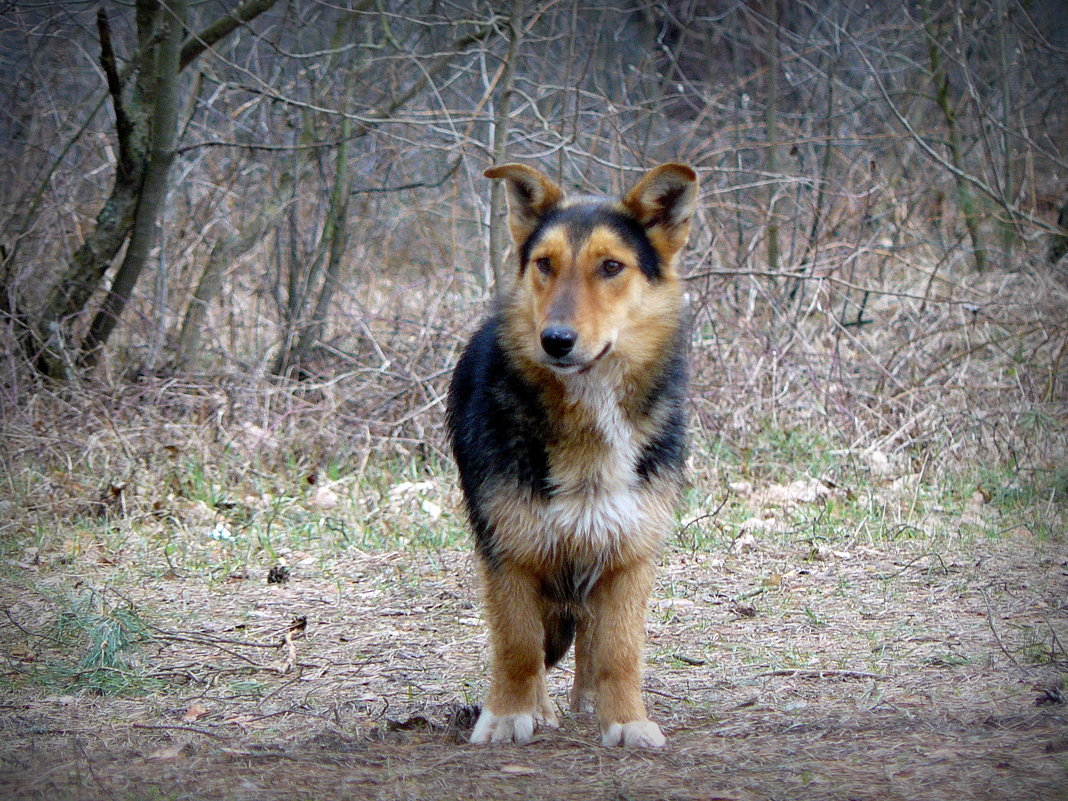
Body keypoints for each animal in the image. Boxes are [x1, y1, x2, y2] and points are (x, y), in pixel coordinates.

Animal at [446, 160, 696, 751]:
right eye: (544, 264)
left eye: (611, 267)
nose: (554, 340)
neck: (589, 411)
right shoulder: (508, 547)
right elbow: (518, 643)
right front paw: (511, 714)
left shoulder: (629, 549)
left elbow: (619, 648)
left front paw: (624, 719)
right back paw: (540, 705)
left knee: (587, 632)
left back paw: (586, 697)